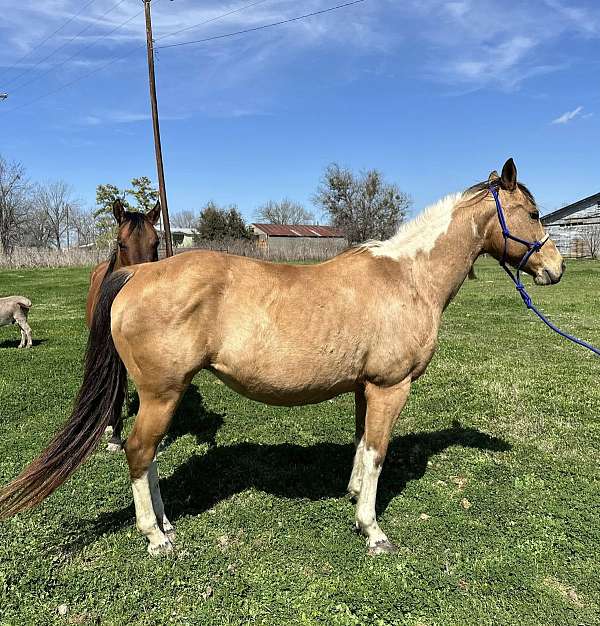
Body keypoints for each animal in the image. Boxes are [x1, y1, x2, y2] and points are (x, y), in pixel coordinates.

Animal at [0, 158, 564, 552]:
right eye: (534, 214)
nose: (555, 269)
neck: (407, 277)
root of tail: (138, 272)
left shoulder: (364, 388)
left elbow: (361, 446)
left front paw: (352, 496)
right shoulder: (390, 388)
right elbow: (378, 452)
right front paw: (372, 530)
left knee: (152, 455)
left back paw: (166, 523)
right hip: (161, 393)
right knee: (140, 452)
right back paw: (156, 537)